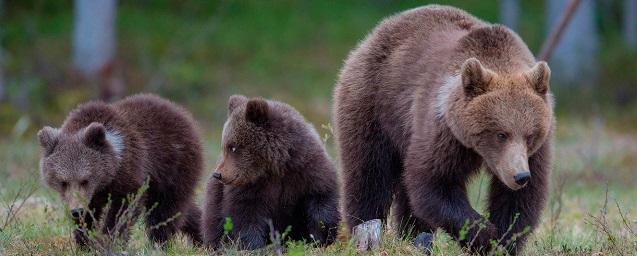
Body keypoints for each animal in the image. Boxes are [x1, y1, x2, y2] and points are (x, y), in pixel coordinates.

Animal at [36, 94, 204, 248]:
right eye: (63, 182)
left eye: (85, 180)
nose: (77, 210)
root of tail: (182, 113)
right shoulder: (89, 195)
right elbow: (89, 215)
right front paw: (84, 242)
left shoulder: (130, 173)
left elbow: (123, 210)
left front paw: (110, 240)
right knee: (185, 209)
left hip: (173, 167)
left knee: (166, 210)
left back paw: (159, 243)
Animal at [202, 95, 342, 250]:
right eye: (224, 146)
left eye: (233, 147)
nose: (217, 174)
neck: (276, 168)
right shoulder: (250, 187)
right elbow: (245, 214)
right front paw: (254, 245)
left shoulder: (308, 171)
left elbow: (321, 200)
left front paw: (318, 237)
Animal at [332, 4, 552, 254]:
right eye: (500, 134)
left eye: (530, 135)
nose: (520, 176)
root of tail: (376, 32)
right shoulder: (443, 132)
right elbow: (434, 183)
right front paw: (483, 234)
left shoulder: (535, 151)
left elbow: (519, 201)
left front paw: (502, 241)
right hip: (373, 104)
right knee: (369, 174)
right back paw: (364, 230)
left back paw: (413, 236)